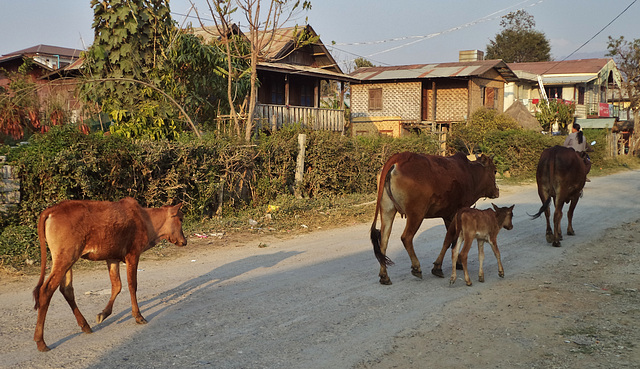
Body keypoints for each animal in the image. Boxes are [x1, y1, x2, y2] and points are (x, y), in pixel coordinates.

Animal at [32, 198, 188, 350]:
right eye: (180, 219)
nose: (184, 241)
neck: (146, 220)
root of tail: (51, 210)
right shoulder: (133, 254)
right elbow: (132, 285)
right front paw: (138, 316)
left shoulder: (112, 258)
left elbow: (117, 286)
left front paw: (103, 314)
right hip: (65, 257)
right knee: (46, 290)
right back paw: (41, 341)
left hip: (67, 259)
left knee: (67, 289)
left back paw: (85, 326)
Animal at [370, 151, 500, 284]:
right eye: (495, 171)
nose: (497, 191)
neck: (471, 173)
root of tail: (399, 157)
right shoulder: (456, 213)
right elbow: (449, 240)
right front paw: (439, 267)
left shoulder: (447, 216)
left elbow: (453, 240)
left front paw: (455, 263)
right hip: (416, 214)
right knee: (406, 237)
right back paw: (416, 267)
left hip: (387, 210)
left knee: (383, 241)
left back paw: (384, 275)